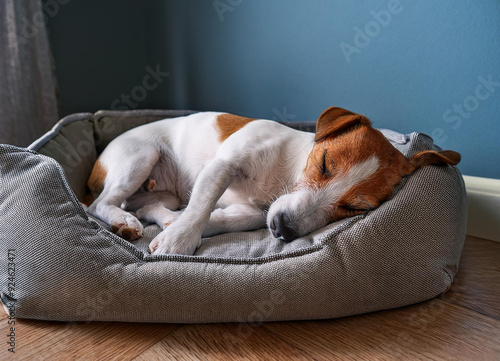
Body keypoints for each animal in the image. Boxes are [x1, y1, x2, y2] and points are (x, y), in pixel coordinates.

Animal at [87, 105, 460, 255]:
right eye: (325, 164)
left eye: (356, 208)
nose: (283, 229)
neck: (285, 172)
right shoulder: (222, 167)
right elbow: (201, 207)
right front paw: (179, 241)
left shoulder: (254, 209)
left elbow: (227, 216)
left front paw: (181, 227)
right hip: (141, 157)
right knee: (99, 205)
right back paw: (123, 220)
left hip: (164, 193)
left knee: (150, 206)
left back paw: (155, 218)